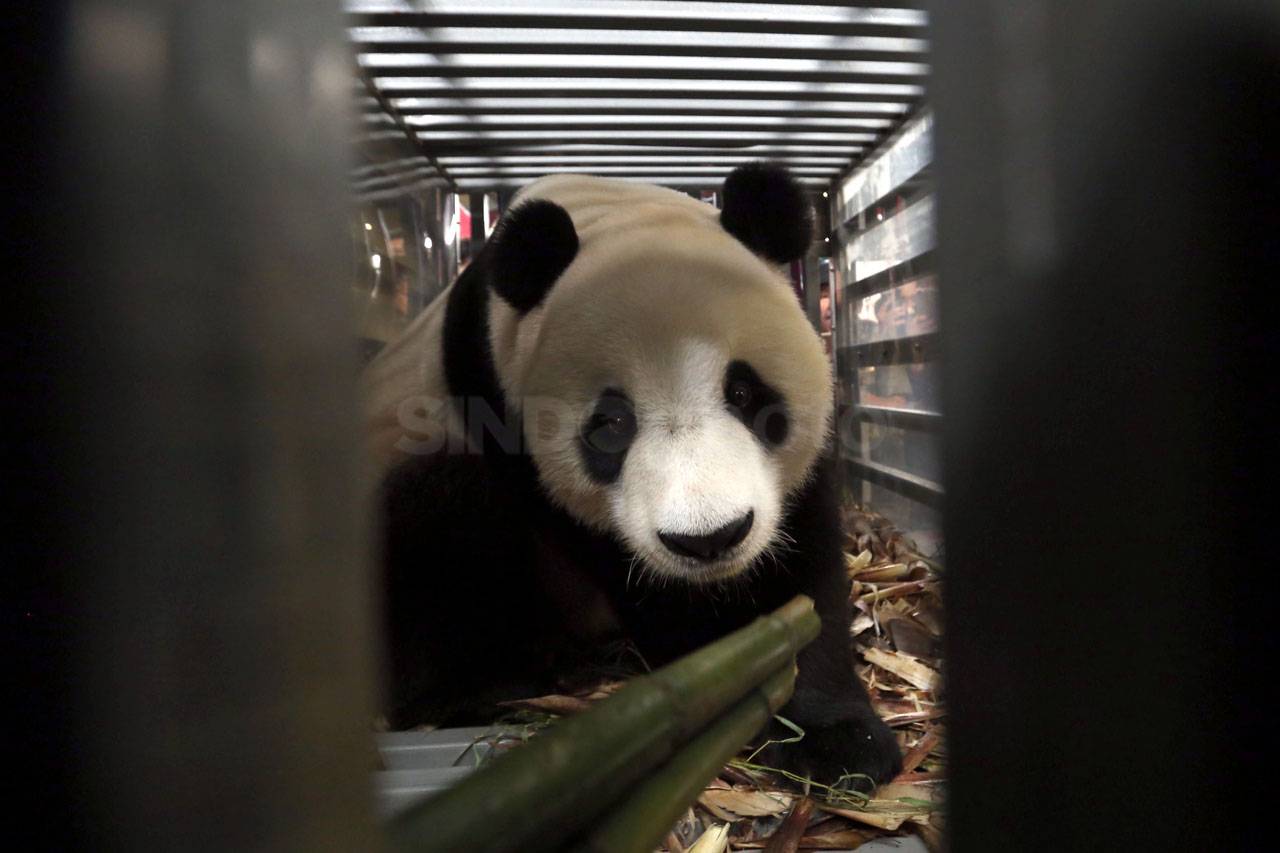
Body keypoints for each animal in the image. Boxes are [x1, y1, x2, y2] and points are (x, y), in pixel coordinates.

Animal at [364, 163, 902, 789]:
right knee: (439, 527)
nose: (710, 540)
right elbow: (631, 571)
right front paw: (721, 667)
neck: (610, 209)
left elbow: (801, 567)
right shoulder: (498, 404)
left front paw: (836, 740)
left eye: (743, 393)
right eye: (612, 423)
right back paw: (504, 684)